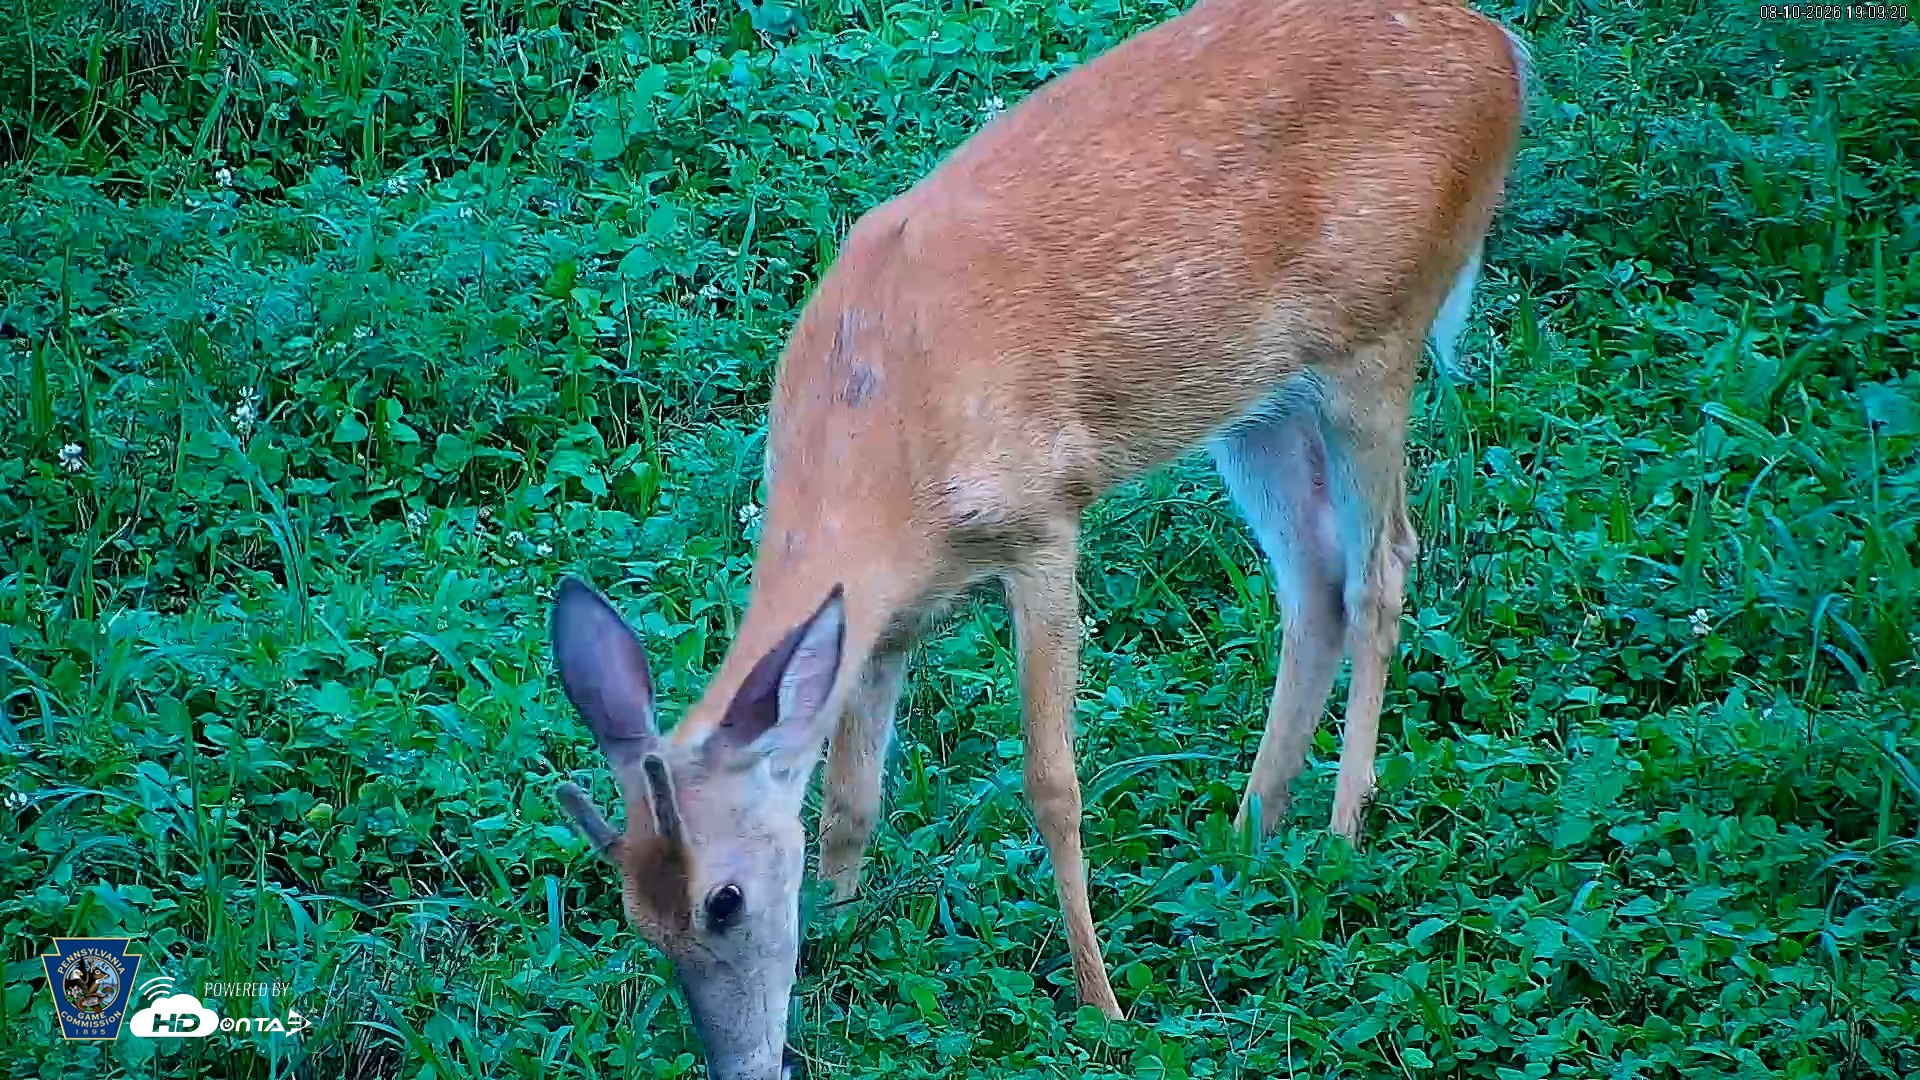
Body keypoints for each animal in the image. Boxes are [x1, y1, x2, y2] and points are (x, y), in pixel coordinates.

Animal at [549, 1, 1529, 1076]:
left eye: (724, 900)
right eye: (637, 916)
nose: (745, 1064)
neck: (886, 440)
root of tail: (1502, 53)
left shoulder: (1044, 523)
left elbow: (1051, 780)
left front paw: (1103, 1002)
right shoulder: (887, 614)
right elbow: (851, 794)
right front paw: (845, 924)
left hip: (1378, 339)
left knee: (1384, 564)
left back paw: (1343, 833)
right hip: (1258, 405)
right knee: (1315, 582)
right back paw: (1246, 834)